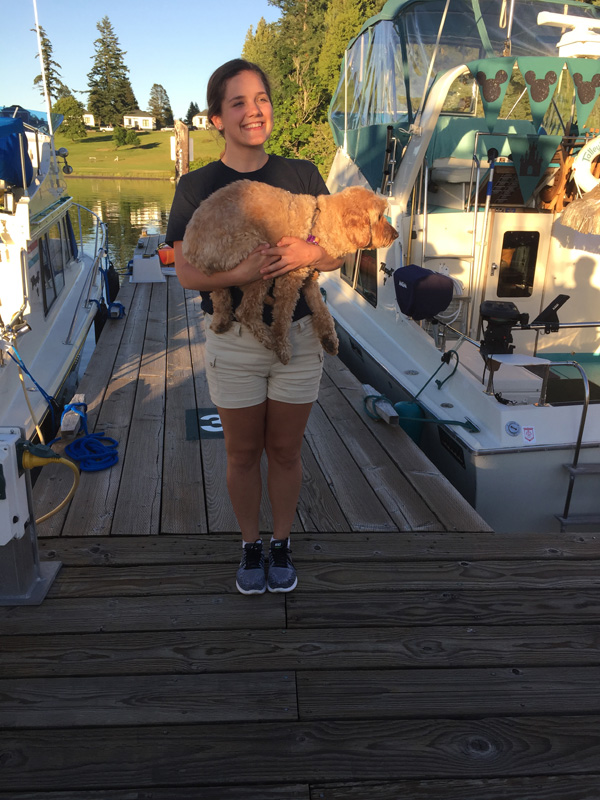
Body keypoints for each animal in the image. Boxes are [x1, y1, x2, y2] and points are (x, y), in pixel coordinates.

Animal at [182, 180, 398, 364]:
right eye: (379, 217)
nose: (395, 235)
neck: (319, 223)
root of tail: (190, 247)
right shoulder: (290, 280)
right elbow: (283, 319)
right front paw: (282, 348)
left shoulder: (309, 280)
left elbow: (323, 310)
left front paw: (329, 339)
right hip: (258, 256)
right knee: (246, 311)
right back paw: (268, 338)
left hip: (224, 272)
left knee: (221, 296)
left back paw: (222, 321)